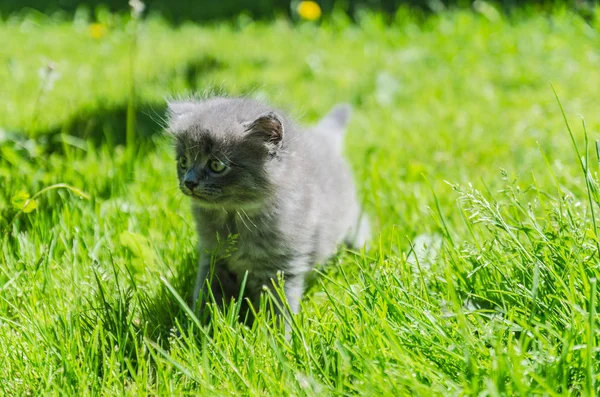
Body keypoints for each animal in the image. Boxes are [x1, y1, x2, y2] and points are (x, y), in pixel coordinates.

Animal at [166, 97, 368, 320]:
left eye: (216, 165)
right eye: (183, 161)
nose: (189, 182)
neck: (234, 218)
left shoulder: (282, 269)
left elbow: (279, 310)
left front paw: (275, 330)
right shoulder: (213, 258)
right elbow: (207, 295)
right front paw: (201, 324)